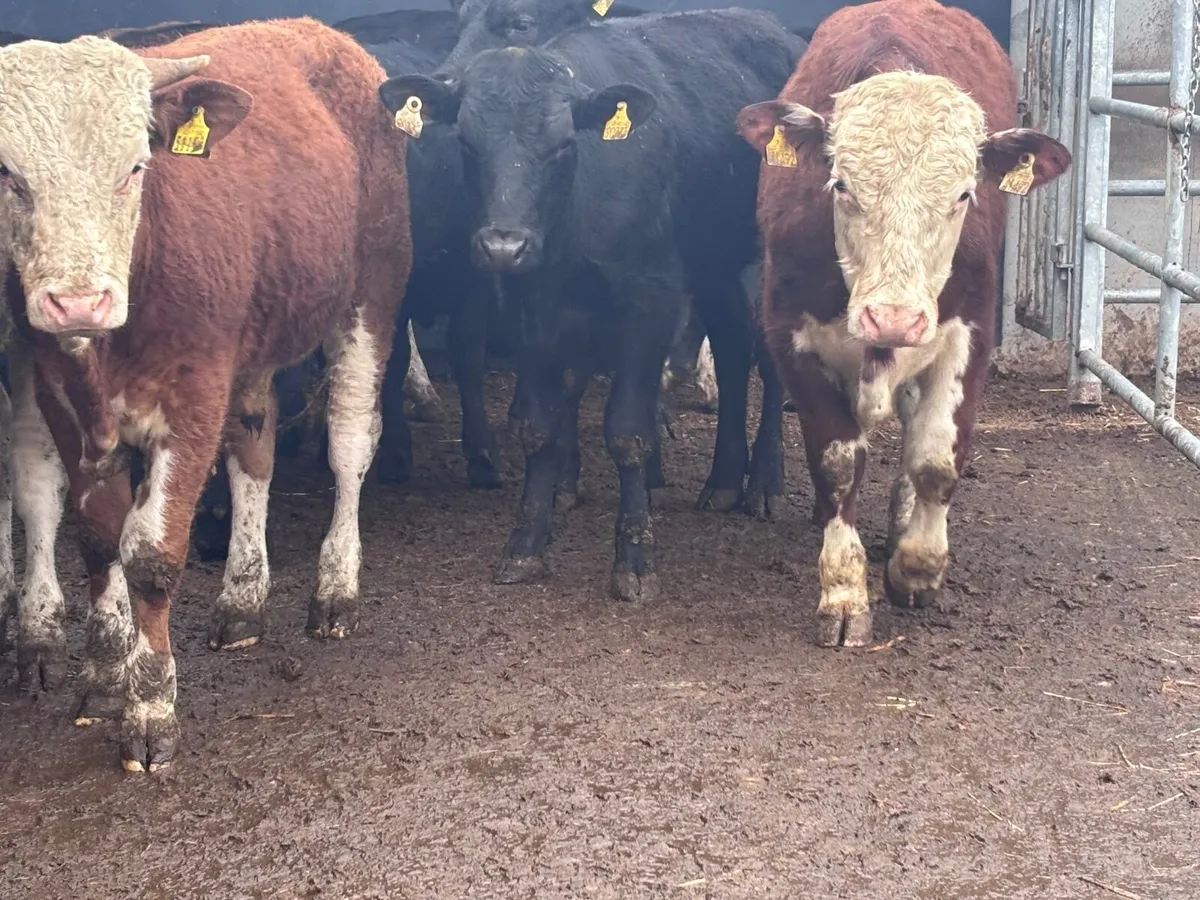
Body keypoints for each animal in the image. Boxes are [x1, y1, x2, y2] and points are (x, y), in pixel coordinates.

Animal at [0, 16, 412, 771]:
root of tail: (318, 31)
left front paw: (151, 707)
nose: (78, 303)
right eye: (8, 174)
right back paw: (243, 597)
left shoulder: (191, 401)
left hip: (374, 288)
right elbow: (97, 534)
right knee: (255, 444)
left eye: (136, 167)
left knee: (348, 442)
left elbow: (151, 554)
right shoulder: (63, 399)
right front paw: (104, 670)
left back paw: (336, 587)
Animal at [381, 8, 804, 601]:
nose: (504, 245)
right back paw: (723, 480)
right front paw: (526, 544)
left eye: (562, 145)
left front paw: (634, 560)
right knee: (733, 346)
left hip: (771, 255)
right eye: (467, 143)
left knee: (768, 352)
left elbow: (627, 431)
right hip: (714, 263)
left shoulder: (649, 302)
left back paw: (765, 483)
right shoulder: (533, 309)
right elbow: (537, 424)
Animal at [736, 0, 1070, 648]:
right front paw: (844, 593)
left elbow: (937, 461)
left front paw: (916, 567)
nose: (892, 316)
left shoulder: (969, 335)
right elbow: (838, 466)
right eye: (841, 184)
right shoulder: (792, 338)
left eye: (963, 194)